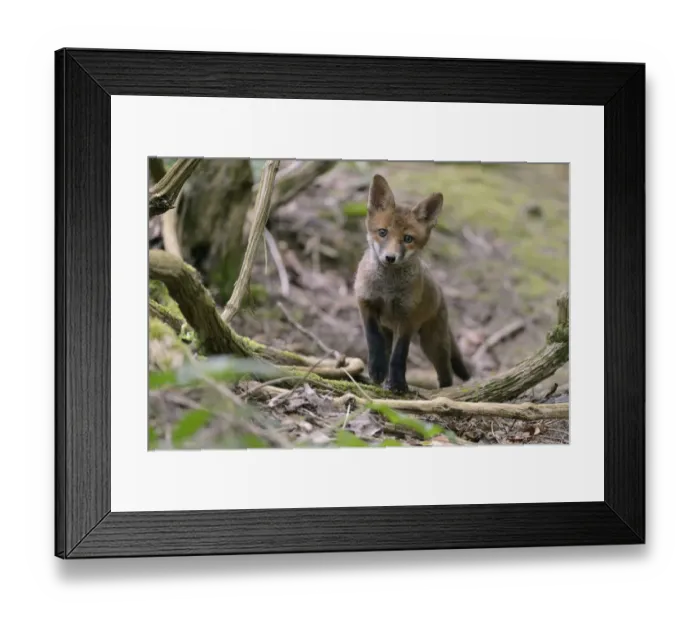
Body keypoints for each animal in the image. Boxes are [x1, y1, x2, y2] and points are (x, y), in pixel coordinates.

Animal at [353, 173, 472, 394]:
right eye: (382, 232)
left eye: (408, 239)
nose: (390, 258)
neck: (388, 289)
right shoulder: (365, 303)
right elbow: (373, 340)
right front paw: (377, 369)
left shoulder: (407, 317)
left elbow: (399, 355)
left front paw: (398, 384)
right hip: (392, 330)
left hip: (432, 343)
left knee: (446, 373)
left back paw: (443, 392)